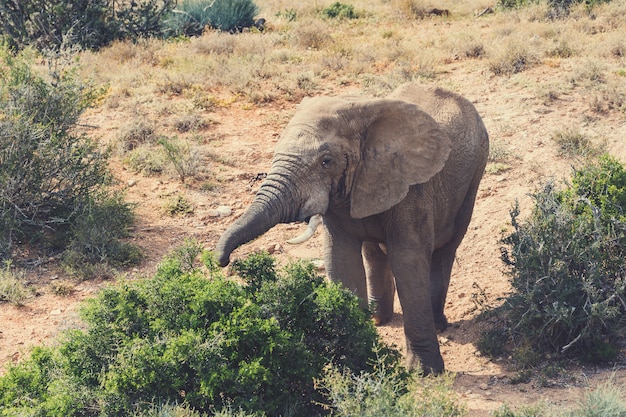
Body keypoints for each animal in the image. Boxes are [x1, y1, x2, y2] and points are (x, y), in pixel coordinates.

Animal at [214, 82, 488, 374]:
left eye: (326, 161)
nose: (221, 261)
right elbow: (341, 261)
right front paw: (355, 364)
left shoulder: (412, 188)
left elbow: (409, 264)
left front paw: (425, 373)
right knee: (373, 252)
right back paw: (379, 318)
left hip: (476, 168)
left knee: (446, 249)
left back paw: (438, 325)